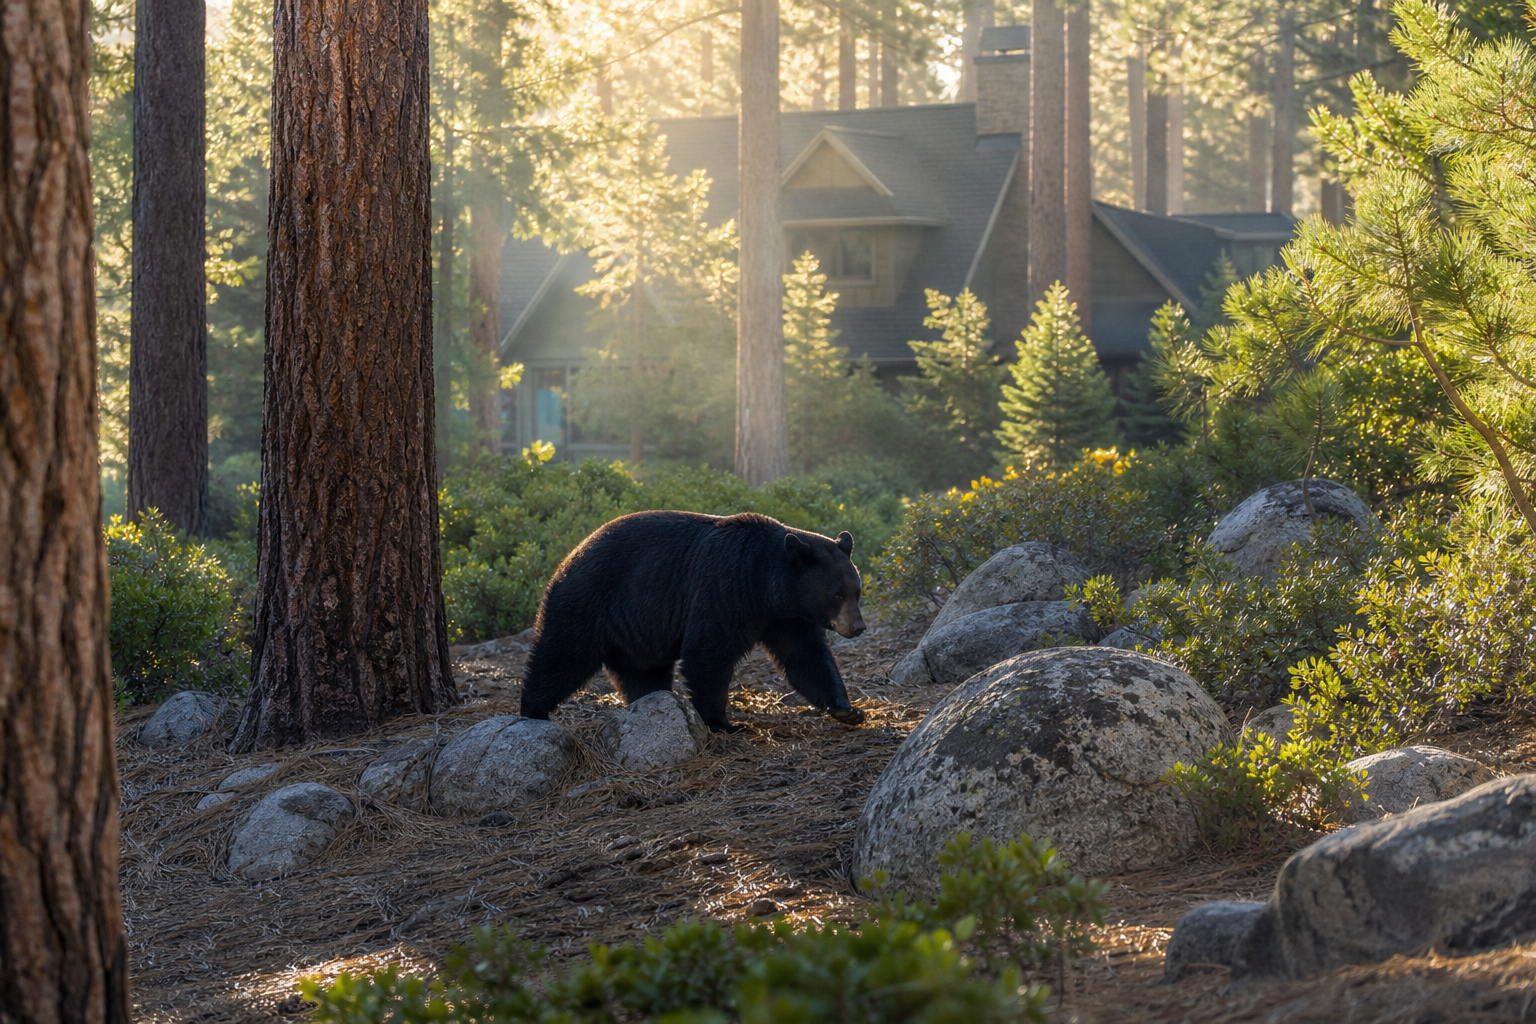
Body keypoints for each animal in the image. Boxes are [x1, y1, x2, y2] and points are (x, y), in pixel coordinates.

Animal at [519, 510, 867, 733]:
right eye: (837, 594)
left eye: (857, 591)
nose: (858, 627)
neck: (764, 584)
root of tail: (568, 557)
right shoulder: (724, 587)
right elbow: (708, 652)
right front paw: (723, 723)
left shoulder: (786, 616)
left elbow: (806, 657)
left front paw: (847, 710)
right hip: (589, 602)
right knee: (561, 656)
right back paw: (533, 710)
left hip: (637, 629)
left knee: (642, 673)